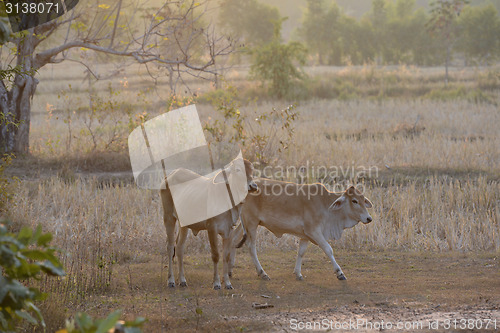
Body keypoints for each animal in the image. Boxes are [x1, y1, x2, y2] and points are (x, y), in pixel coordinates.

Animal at [161, 158, 258, 288]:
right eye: (238, 169)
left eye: (252, 170)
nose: (253, 186)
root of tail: (170, 175)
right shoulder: (211, 228)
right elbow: (216, 255)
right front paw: (216, 283)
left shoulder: (229, 231)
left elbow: (226, 256)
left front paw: (227, 283)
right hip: (168, 217)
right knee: (170, 247)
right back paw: (171, 280)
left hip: (184, 224)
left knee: (180, 248)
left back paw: (182, 280)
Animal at [229, 179, 372, 280]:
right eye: (354, 201)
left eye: (363, 200)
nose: (368, 218)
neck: (326, 205)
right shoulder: (314, 232)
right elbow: (328, 249)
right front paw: (340, 273)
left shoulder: (305, 235)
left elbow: (301, 252)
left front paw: (298, 273)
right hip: (251, 223)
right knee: (251, 246)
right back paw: (262, 273)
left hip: (245, 223)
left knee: (234, 239)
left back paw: (229, 270)